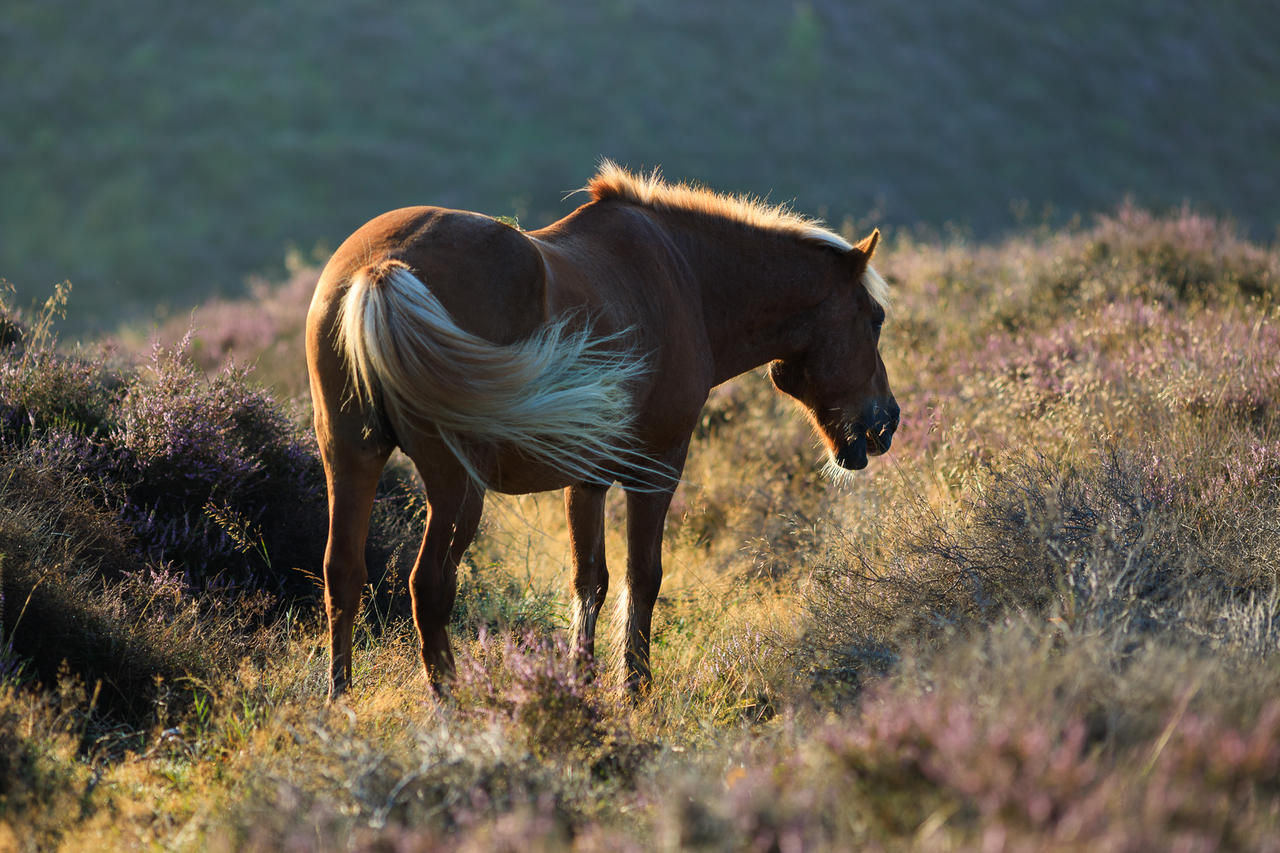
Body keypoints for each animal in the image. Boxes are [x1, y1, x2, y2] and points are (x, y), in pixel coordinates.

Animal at [304, 161, 896, 696]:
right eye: (875, 318)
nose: (887, 422)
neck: (686, 277)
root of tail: (381, 267)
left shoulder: (585, 480)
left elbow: (589, 580)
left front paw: (582, 681)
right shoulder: (656, 469)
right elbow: (643, 577)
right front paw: (634, 687)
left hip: (350, 458)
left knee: (342, 573)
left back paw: (340, 697)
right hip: (456, 485)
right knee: (429, 586)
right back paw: (451, 706)